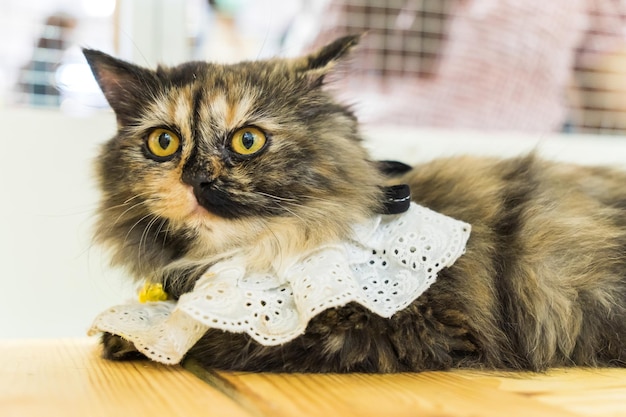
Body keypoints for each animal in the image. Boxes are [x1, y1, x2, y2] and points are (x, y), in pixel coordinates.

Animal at [85, 35, 624, 372]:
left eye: (247, 141)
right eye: (163, 143)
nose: (196, 178)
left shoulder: (409, 325)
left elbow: (220, 336)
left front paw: (129, 336)